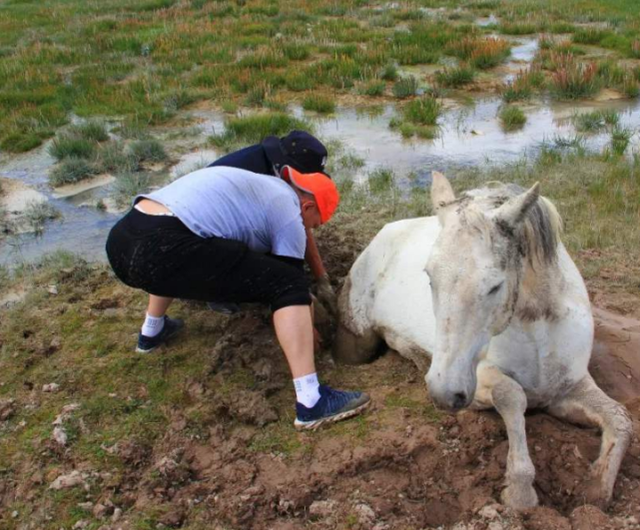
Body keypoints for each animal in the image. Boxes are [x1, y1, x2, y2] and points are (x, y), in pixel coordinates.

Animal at [338, 172, 632, 508]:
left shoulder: (568, 389)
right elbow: (512, 394)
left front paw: (596, 487)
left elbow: (621, 419)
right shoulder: (478, 382)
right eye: (429, 276)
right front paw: (519, 489)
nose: (442, 393)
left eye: (494, 286)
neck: (539, 331)